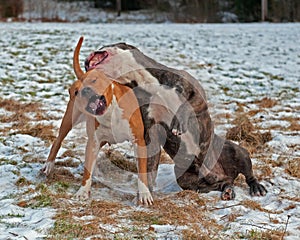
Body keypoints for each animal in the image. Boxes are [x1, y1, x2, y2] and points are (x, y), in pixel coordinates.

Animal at [42, 37, 268, 202]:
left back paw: (256, 187)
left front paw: (178, 122)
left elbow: (186, 106)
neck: (142, 79)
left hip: (235, 150)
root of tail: (222, 174)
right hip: (185, 176)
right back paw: (227, 189)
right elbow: (149, 168)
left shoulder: (196, 96)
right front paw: (145, 193)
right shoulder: (151, 128)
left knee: (247, 173)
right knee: (220, 184)